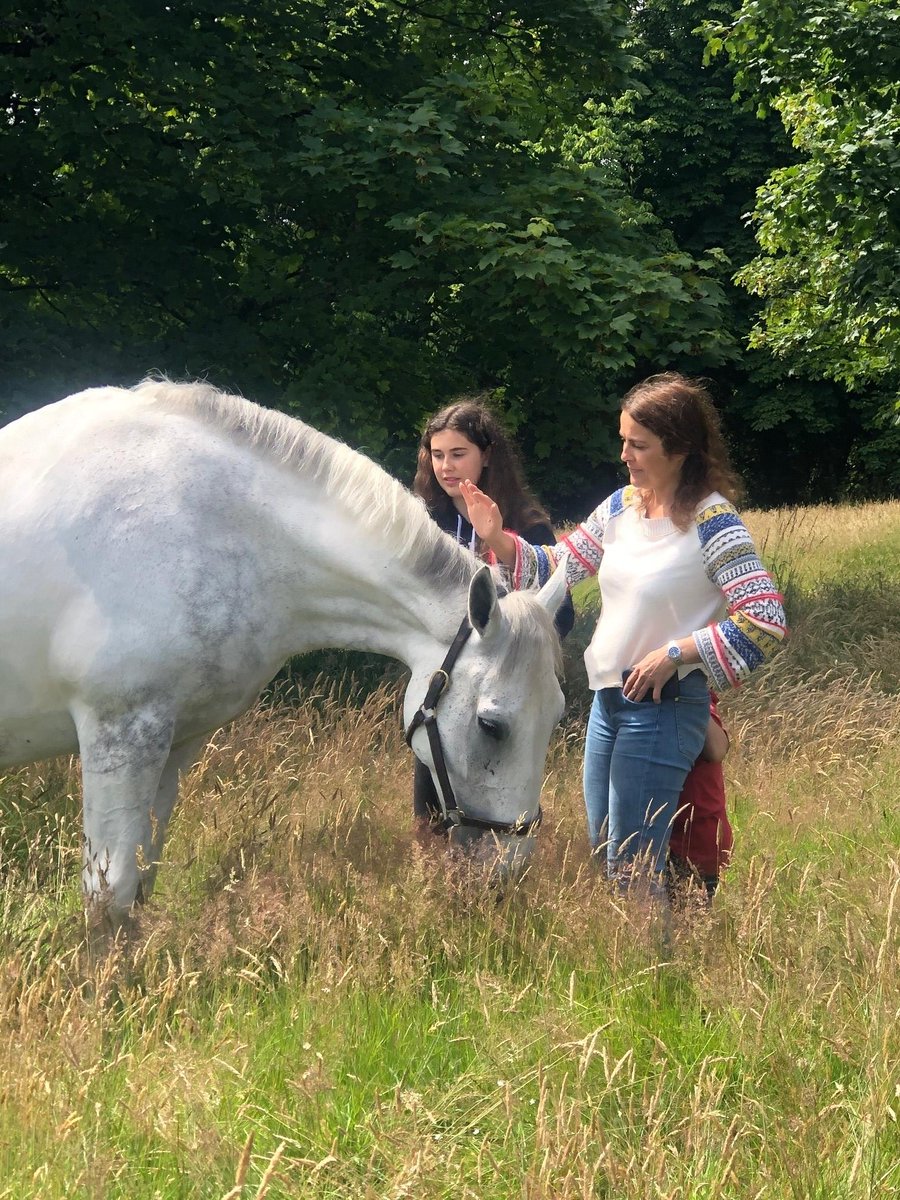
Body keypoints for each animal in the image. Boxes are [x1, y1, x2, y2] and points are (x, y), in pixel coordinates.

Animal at [0, 380, 567, 932]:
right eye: (492, 725)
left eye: (555, 716)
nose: (508, 871)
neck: (207, 526)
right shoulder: (118, 735)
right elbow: (109, 896)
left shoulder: (175, 741)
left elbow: (142, 879)